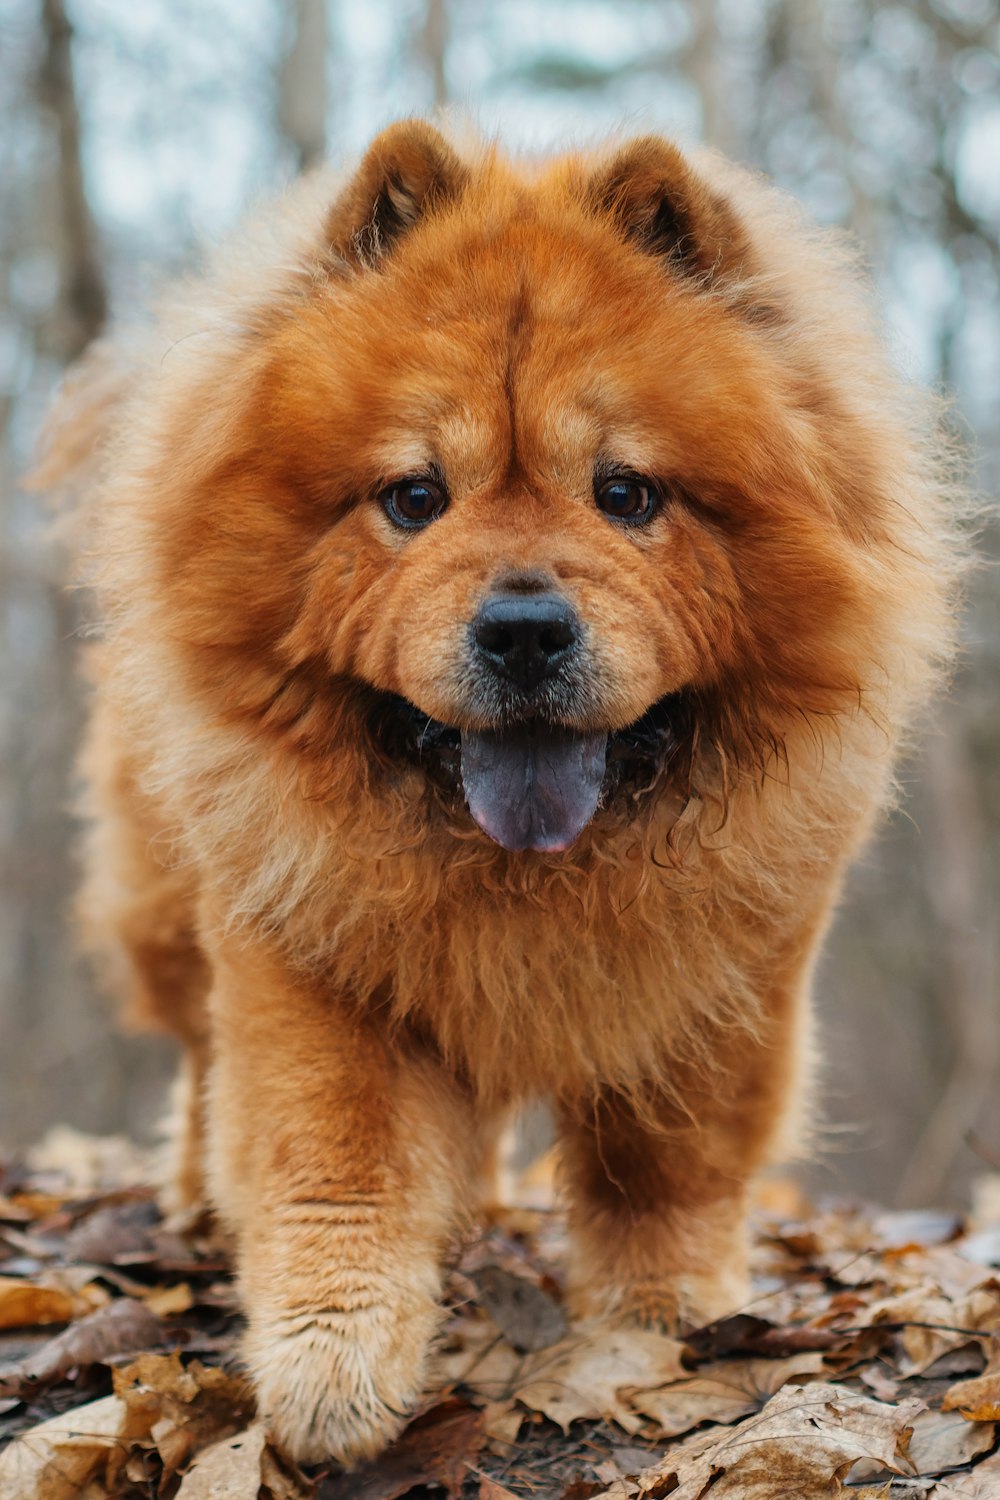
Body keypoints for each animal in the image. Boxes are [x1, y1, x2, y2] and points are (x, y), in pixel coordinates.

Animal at [37, 123, 959, 1458]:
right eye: (413, 497)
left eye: (626, 493)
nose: (523, 629)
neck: (522, 879)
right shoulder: (307, 955)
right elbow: (337, 1159)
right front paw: (330, 1370)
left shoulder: (727, 976)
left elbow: (665, 1165)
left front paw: (661, 1318)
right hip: (166, 899)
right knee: (205, 1068)